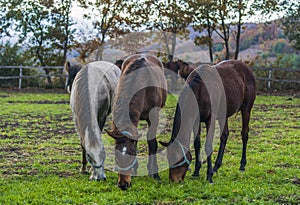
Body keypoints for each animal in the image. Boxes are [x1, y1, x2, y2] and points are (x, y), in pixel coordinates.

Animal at [106, 53, 168, 190]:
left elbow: (152, 143)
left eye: (131, 154)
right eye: (116, 156)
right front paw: (134, 170)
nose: (123, 184)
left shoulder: (154, 117)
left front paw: (154, 173)